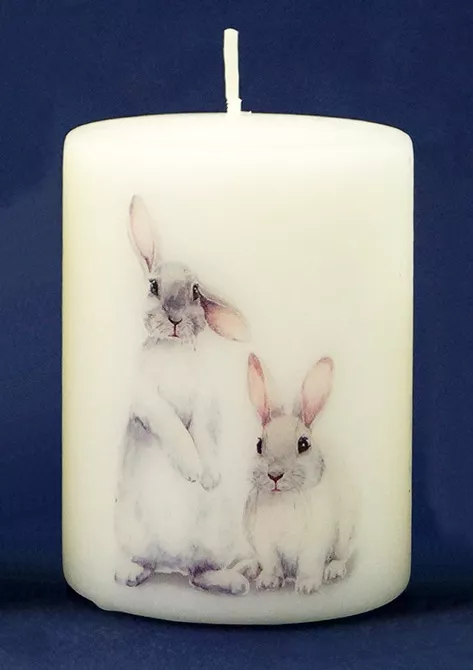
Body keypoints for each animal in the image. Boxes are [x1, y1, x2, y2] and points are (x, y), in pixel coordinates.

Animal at [114, 195, 251, 595]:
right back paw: (129, 574)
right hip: (131, 531)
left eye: (195, 292)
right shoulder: (147, 400)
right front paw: (190, 470)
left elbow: (201, 431)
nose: (174, 319)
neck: (172, 350)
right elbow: (171, 425)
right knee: (150, 562)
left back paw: (234, 581)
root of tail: (171, 565)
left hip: (217, 539)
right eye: (153, 286)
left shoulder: (205, 401)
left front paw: (208, 477)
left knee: (200, 573)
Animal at [236, 353, 356, 595]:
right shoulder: (264, 543)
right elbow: (271, 563)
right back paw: (249, 568)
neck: (284, 497)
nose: (274, 475)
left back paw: (333, 571)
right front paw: (268, 582)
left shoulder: (315, 542)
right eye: (259, 445)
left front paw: (307, 586)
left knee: (341, 555)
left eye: (303, 444)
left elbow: (309, 564)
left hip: (344, 535)